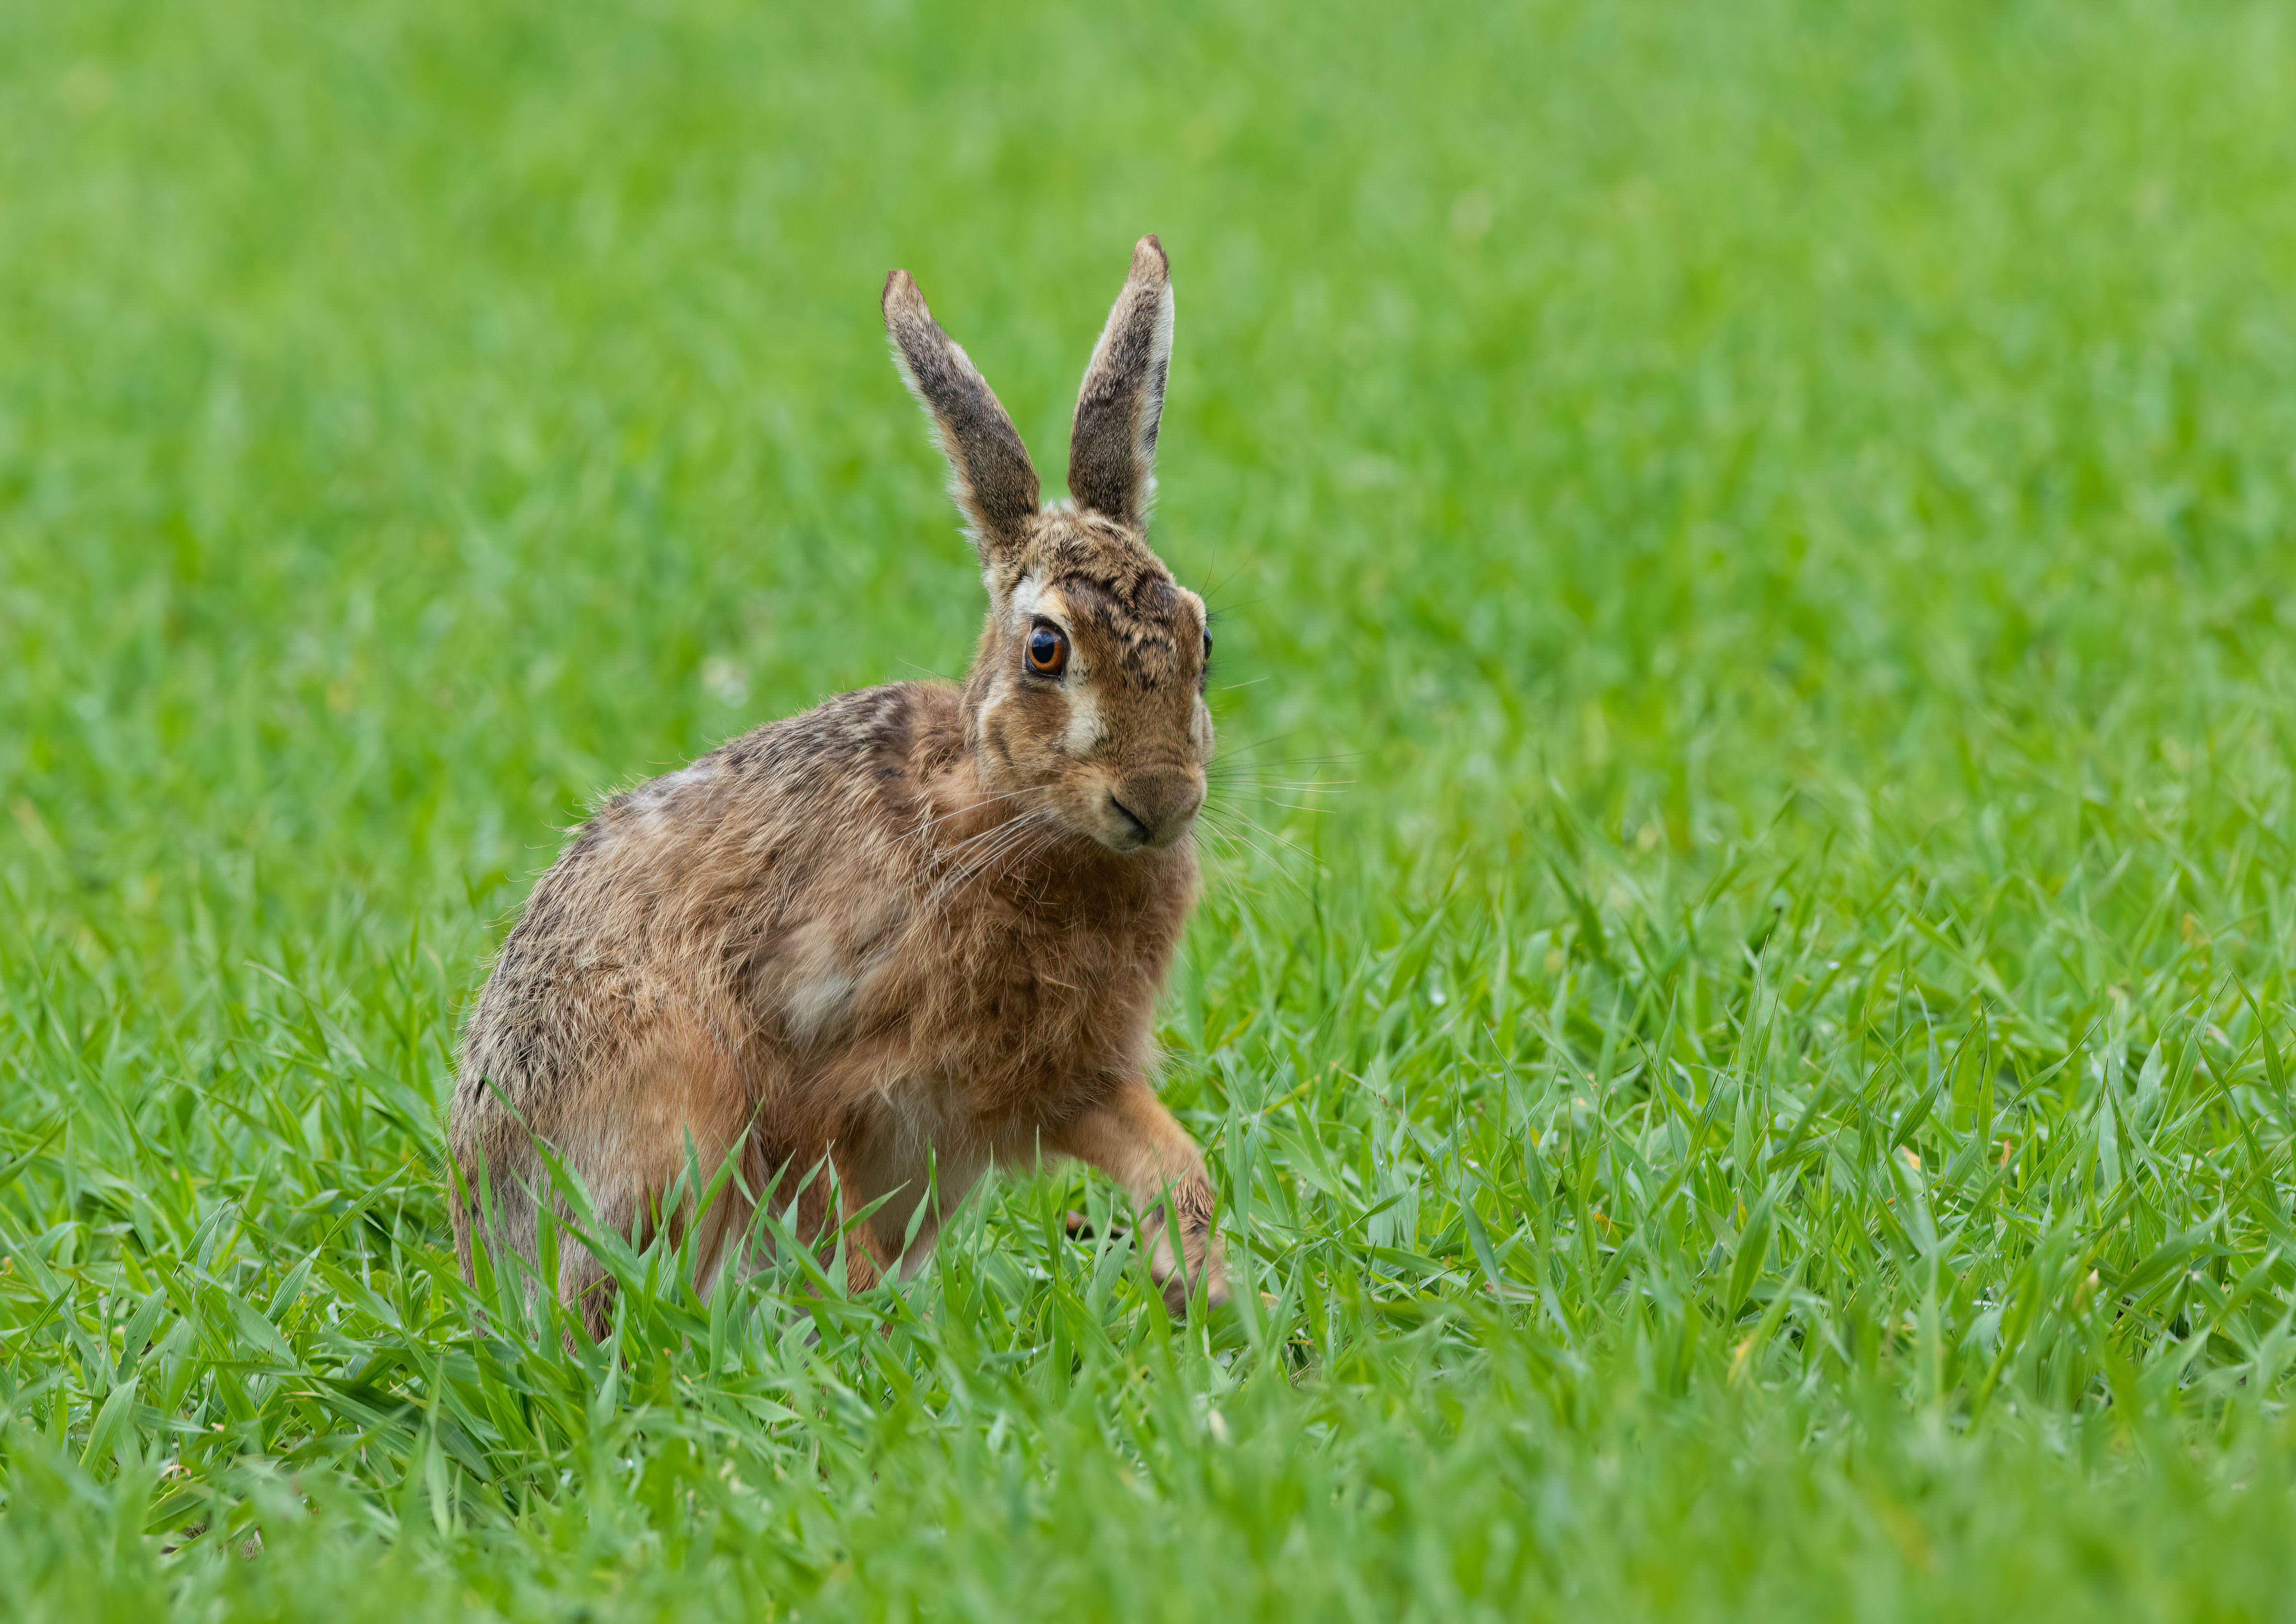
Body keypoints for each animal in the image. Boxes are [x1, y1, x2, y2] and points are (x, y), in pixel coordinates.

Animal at [449, 236, 1227, 1338]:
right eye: (1045, 648)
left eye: (1205, 637)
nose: (1158, 802)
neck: (1005, 816)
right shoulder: (817, 1071)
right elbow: (827, 1209)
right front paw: (878, 1328)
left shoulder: (1058, 1078)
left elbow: (1168, 1154)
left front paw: (1196, 1281)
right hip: (674, 1096)